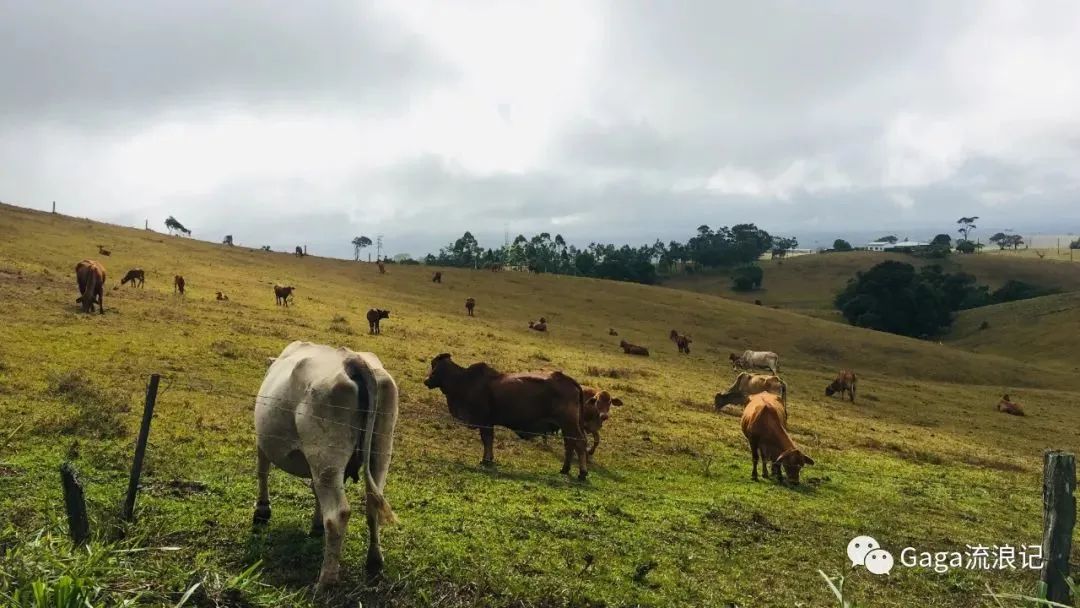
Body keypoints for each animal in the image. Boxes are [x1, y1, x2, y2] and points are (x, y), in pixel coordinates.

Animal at [251, 343, 397, 583]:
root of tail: (352, 360)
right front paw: (316, 524)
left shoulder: (263, 442)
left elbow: (262, 472)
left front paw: (262, 511)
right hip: (379, 452)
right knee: (373, 503)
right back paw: (374, 562)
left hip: (325, 457)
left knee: (338, 515)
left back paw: (325, 581)